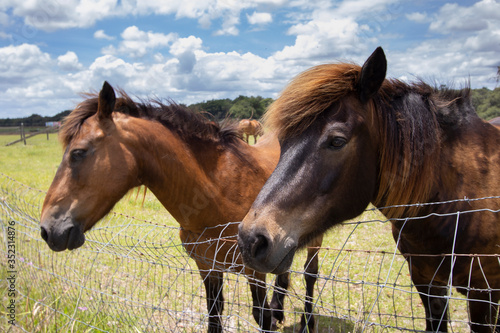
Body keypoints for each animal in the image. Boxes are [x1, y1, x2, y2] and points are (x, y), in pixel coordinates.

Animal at [39, 82, 320, 332]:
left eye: (78, 152)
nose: (47, 229)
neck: (221, 195)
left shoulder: (254, 272)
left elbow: (261, 316)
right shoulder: (208, 268)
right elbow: (214, 316)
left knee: (310, 276)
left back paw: (308, 322)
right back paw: (281, 311)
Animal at [238, 47, 500, 332]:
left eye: (337, 141)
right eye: (281, 142)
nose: (251, 240)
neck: (453, 204)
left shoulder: (484, 292)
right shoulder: (426, 281)